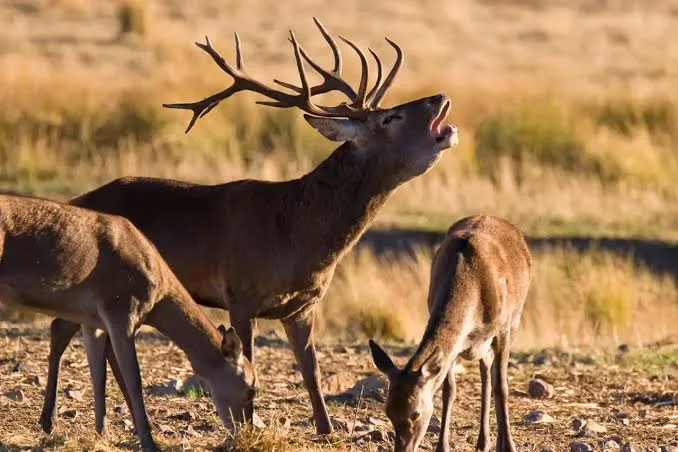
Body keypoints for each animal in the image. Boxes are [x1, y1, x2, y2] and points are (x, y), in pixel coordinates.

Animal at [0, 193, 256, 452]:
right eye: (250, 390)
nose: (244, 433)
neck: (159, 290)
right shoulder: (121, 314)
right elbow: (134, 380)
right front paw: (149, 443)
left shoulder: (93, 323)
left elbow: (98, 375)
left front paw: (103, 435)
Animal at [38, 18, 458, 436]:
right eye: (390, 118)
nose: (439, 96)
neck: (298, 235)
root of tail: (78, 200)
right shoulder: (239, 293)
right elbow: (250, 358)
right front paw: (250, 424)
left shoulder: (303, 305)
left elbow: (312, 370)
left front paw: (326, 429)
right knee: (60, 327)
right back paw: (49, 419)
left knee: (95, 338)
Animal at [369, 215, 533, 452]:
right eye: (387, 411)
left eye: (416, 414)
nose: (403, 449)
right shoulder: (454, 344)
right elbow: (449, 391)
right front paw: (442, 446)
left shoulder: (503, 329)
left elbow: (502, 388)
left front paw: (510, 447)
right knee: (485, 370)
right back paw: (483, 441)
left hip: (515, 318)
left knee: (493, 377)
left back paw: (496, 441)